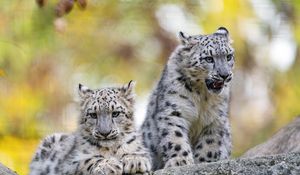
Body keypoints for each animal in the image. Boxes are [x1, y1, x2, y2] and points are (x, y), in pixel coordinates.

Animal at [141, 27, 234, 170]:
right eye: (209, 59)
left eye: (229, 56)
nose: (224, 75)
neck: (203, 96)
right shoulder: (173, 111)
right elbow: (176, 137)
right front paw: (181, 161)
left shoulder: (216, 117)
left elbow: (210, 142)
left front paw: (203, 161)